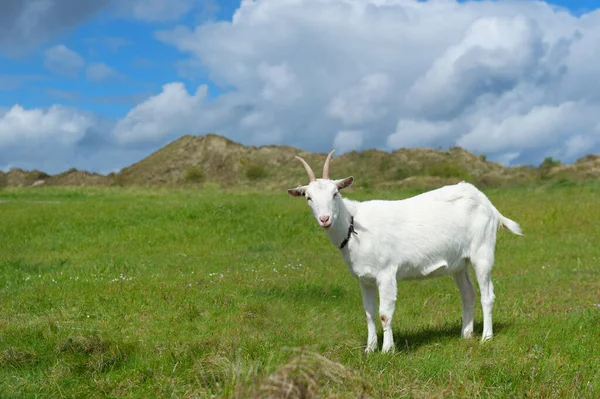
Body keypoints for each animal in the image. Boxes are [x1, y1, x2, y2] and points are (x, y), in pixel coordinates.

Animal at [288, 152, 524, 354]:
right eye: (308, 198)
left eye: (335, 193)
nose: (325, 219)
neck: (354, 226)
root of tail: (488, 204)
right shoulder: (364, 279)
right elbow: (369, 313)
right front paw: (369, 349)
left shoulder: (386, 273)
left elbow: (384, 314)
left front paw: (387, 350)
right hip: (459, 262)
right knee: (468, 294)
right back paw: (465, 335)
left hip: (482, 251)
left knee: (487, 295)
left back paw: (486, 337)